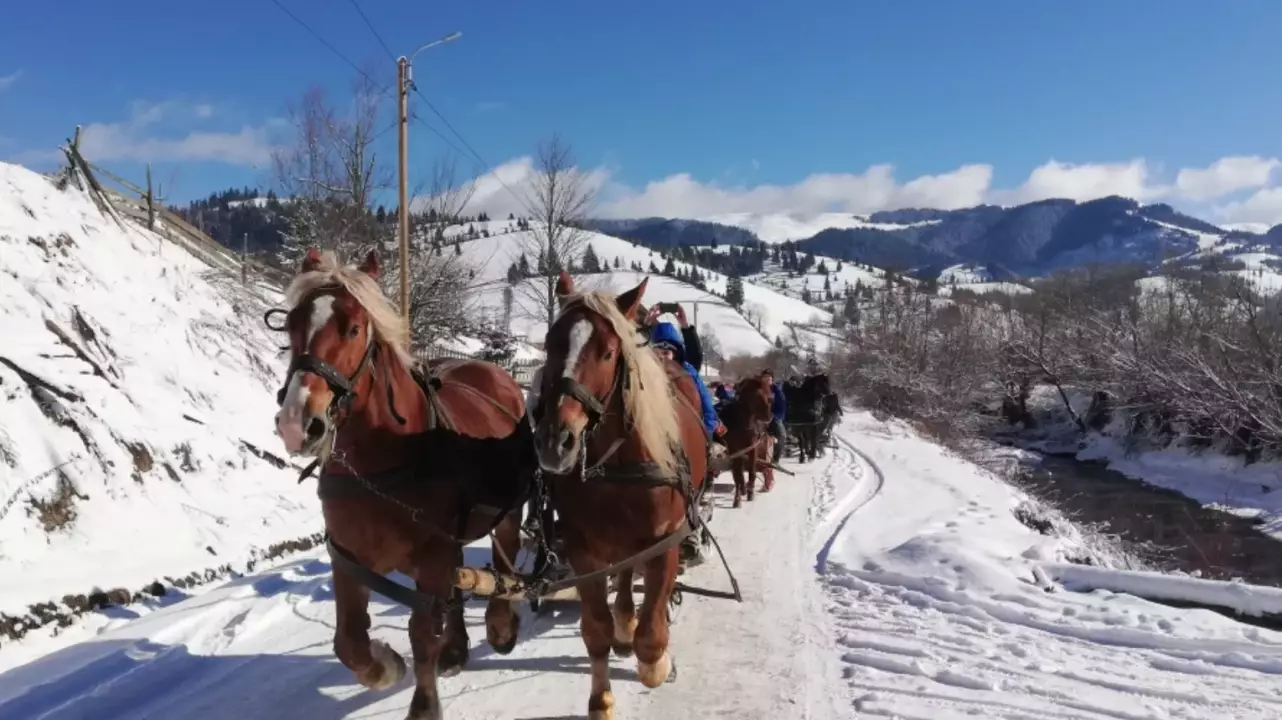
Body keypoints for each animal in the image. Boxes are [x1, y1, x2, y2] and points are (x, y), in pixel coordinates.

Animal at [270, 248, 530, 717]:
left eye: (354, 328)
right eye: (292, 325)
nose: (298, 424)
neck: (380, 463)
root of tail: (497, 373)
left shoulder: (431, 557)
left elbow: (422, 633)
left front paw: (424, 704)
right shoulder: (347, 557)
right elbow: (349, 641)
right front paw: (385, 666)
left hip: (508, 509)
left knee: (504, 563)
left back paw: (500, 626)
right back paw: (457, 648)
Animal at [530, 270, 712, 717]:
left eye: (609, 352)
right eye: (550, 342)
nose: (554, 441)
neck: (616, 467)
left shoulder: (665, 542)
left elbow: (652, 633)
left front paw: (657, 663)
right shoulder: (584, 551)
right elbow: (596, 630)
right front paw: (601, 699)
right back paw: (624, 621)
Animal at [717, 376, 774, 504]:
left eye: (769, 396)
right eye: (757, 396)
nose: (769, 417)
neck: (743, 426)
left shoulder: (752, 448)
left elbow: (751, 471)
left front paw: (750, 492)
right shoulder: (735, 450)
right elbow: (738, 474)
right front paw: (737, 499)